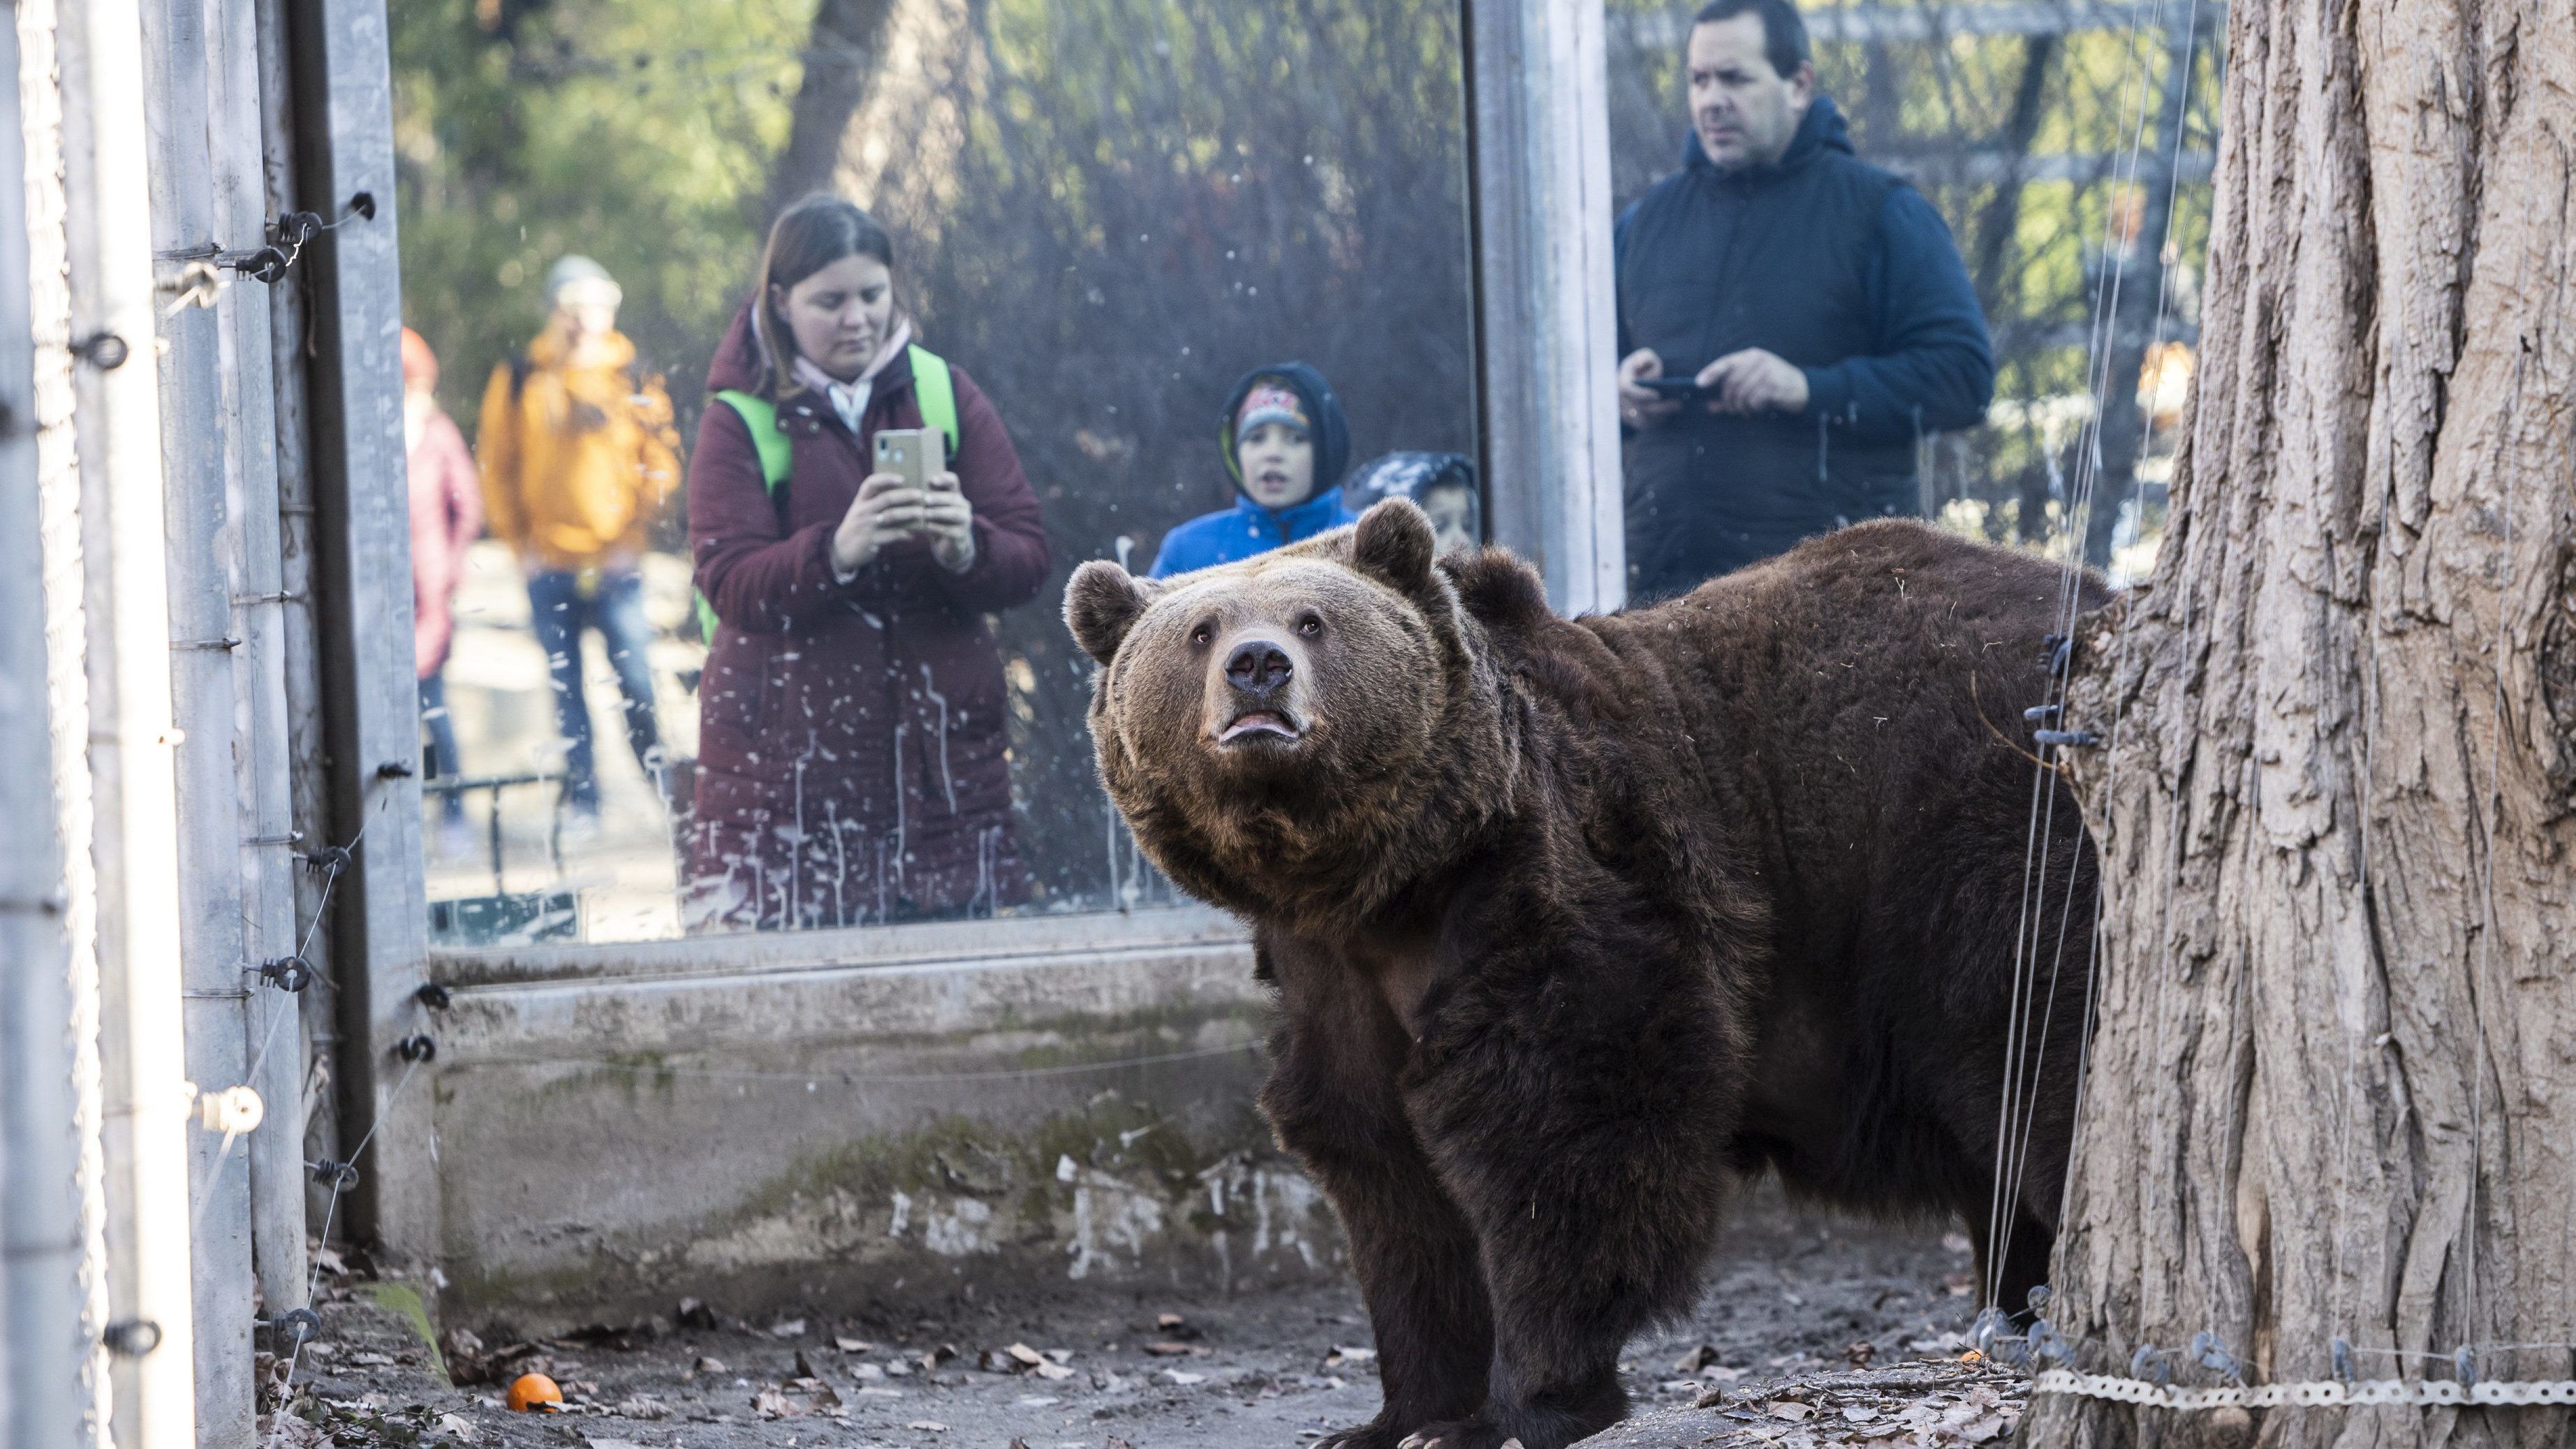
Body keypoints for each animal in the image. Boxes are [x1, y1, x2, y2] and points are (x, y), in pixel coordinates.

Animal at [1066, 505, 2091, 1443]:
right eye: (1200, 629)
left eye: (1313, 619)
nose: (1258, 665)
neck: (1379, 883)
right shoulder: (1332, 981)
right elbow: (1390, 1183)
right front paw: (1401, 1413)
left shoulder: (1550, 884)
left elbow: (1566, 1133)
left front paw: (1528, 1399)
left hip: (1974, 844)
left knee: (2046, 1065)